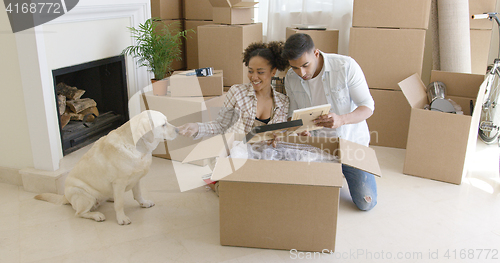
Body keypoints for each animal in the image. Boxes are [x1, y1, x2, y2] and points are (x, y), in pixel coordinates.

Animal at [35, 110, 177, 226]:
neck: (137, 147)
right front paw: (121, 218)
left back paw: (110, 198)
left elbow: (138, 194)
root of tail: (65, 196)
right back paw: (96, 215)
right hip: (85, 195)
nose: (177, 130)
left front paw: (144, 203)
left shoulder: (136, 179)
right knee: (79, 213)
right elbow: (119, 204)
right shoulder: (119, 182)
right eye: (163, 124)